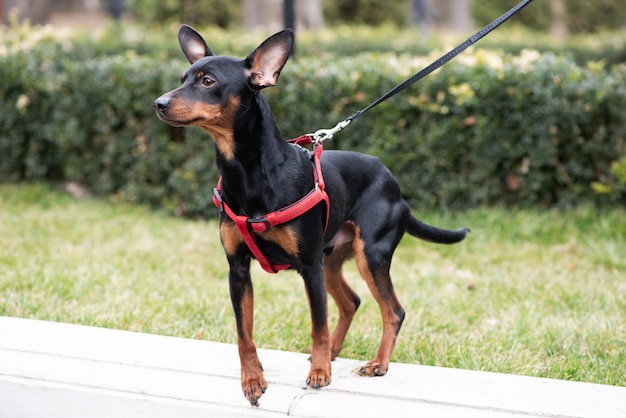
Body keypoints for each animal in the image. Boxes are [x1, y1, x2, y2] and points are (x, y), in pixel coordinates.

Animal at [152, 25, 464, 404]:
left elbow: (318, 324)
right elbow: (244, 334)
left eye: (208, 81)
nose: (159, 103)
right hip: (331, 257)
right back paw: (334, 353)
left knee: (392, 311)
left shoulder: (309, 267)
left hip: (368, 255)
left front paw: (319, 373)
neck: (248, 173)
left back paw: (377, 363)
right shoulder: (238, 270)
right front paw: (252, 380)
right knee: (351, 303)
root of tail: (395, 185)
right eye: (182, 79)